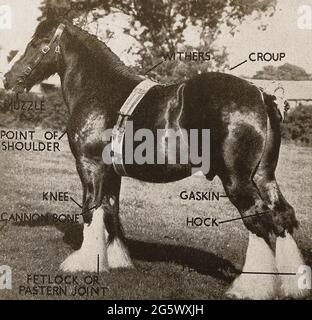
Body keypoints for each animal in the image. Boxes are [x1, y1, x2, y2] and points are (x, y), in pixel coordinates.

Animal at [1, 16, 306, 298]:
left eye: (37, 43)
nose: (8, 79)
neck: (100, 90)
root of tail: (262, 95)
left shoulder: (90, 166)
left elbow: (91, 209)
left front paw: (84, 263)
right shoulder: (111, 173)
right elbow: (111, 209)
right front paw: (116, 259)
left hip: (237, 180)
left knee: (258, 220)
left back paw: (250, 288)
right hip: (264, 175)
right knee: (282, 216)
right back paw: (294, 284)